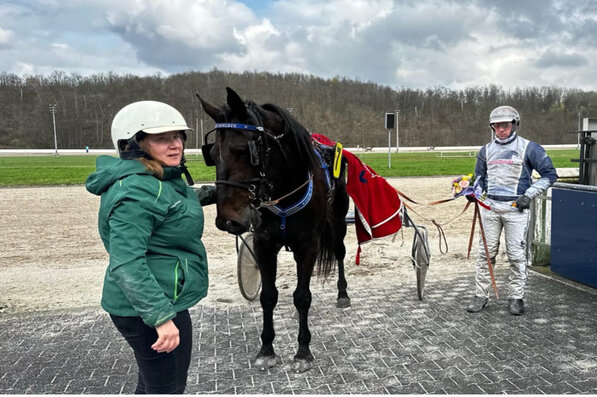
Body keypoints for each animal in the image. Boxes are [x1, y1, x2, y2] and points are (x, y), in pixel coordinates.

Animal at [198, 87, 352, 372]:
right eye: (211, 154)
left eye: (242, 150)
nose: (227, 220)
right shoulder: (264, 243)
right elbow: (268, 296)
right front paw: (267, 349)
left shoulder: (308, 245)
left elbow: (302, 296)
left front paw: (303, 351)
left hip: (337, 223)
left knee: (339, 252)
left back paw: (342, 293)